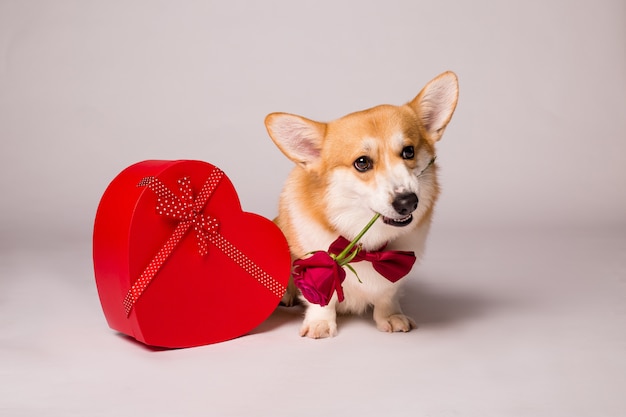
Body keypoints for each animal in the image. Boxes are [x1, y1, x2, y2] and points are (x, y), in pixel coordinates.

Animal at [264, 71, 458, 338]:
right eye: (362, 162)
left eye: (408, 151)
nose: (408, 201)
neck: (367, 248)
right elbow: (321, 299)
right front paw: (320, 323)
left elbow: (387, 294)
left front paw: (390, 316)